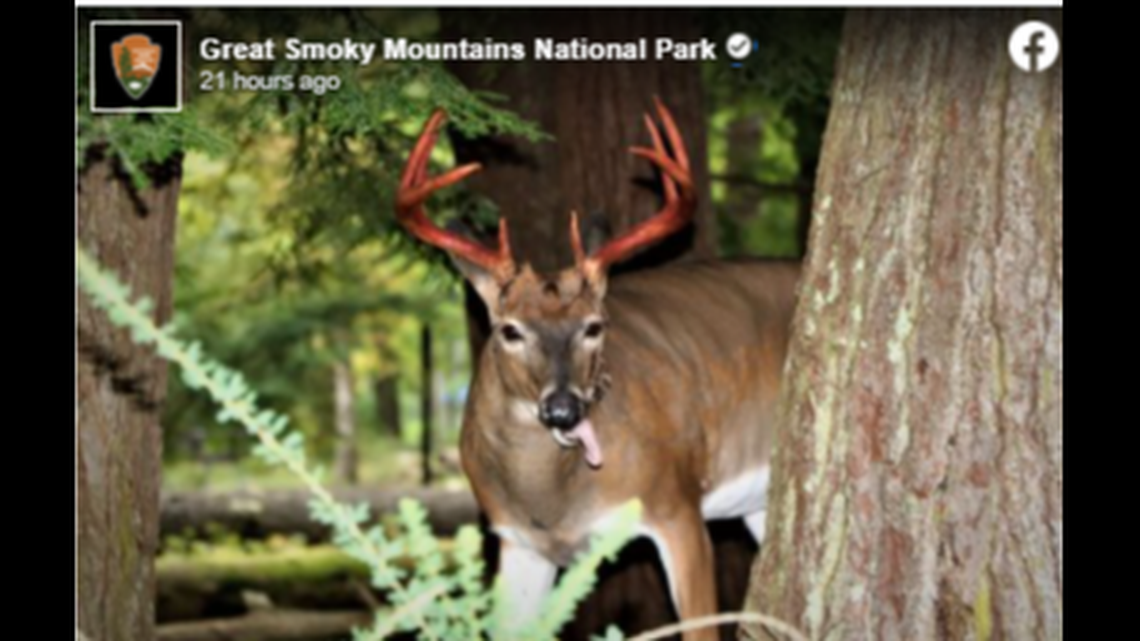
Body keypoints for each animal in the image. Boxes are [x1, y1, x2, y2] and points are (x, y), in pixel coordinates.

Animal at [395, 99, 800, 640]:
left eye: (595, 325)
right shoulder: (519, 541)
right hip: (758, 503)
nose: (564, 409)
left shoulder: (677, 503)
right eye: (509, 329)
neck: (555, 505)